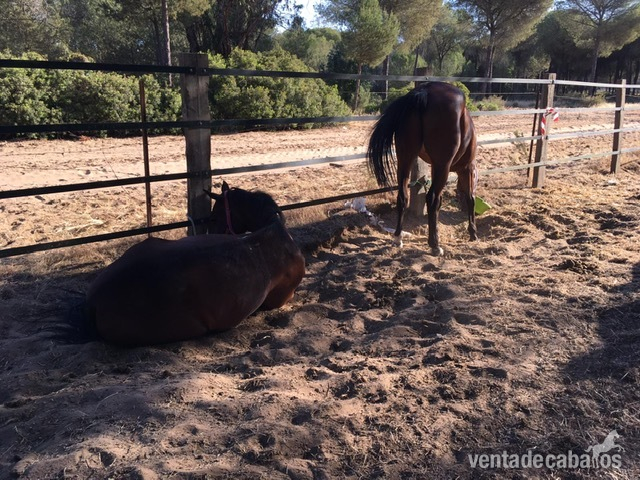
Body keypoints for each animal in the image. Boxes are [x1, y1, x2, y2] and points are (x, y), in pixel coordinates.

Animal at [367, 81, 478, 256]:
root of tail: (423, 92)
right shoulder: (467, 168)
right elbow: (470, 198)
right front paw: (473, 232)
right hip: (442, 166)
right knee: (432, 198)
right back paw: (435, 245)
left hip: (405, 159)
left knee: (403, 197)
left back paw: (398, 238)